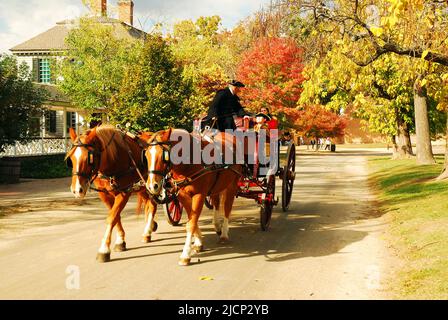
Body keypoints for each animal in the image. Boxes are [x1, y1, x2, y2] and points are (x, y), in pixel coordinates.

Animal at [66, 125, 158, 262]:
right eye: (71, 158)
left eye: (89, 158)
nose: (77, 190)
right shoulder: (105, 195)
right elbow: (116, 216)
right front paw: (120, 240)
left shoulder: (124, 192)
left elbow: (112, 217)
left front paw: (104, 249)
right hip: (142, 187)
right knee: (148, 203)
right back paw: (150, 225)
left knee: (152, 205)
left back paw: (147, 232)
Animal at [144, 127, 242, 264]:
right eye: (146, 155)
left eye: (164, 156)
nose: (152, 186)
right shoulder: (182, 195)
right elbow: (192, 219)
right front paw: (198, 242)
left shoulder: (199, 195)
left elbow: (191, 223)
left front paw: (185, 254)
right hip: (217, 186)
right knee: (216, 202)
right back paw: (217, 225)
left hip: (232, 184)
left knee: (227, 207)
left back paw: (224, 234)